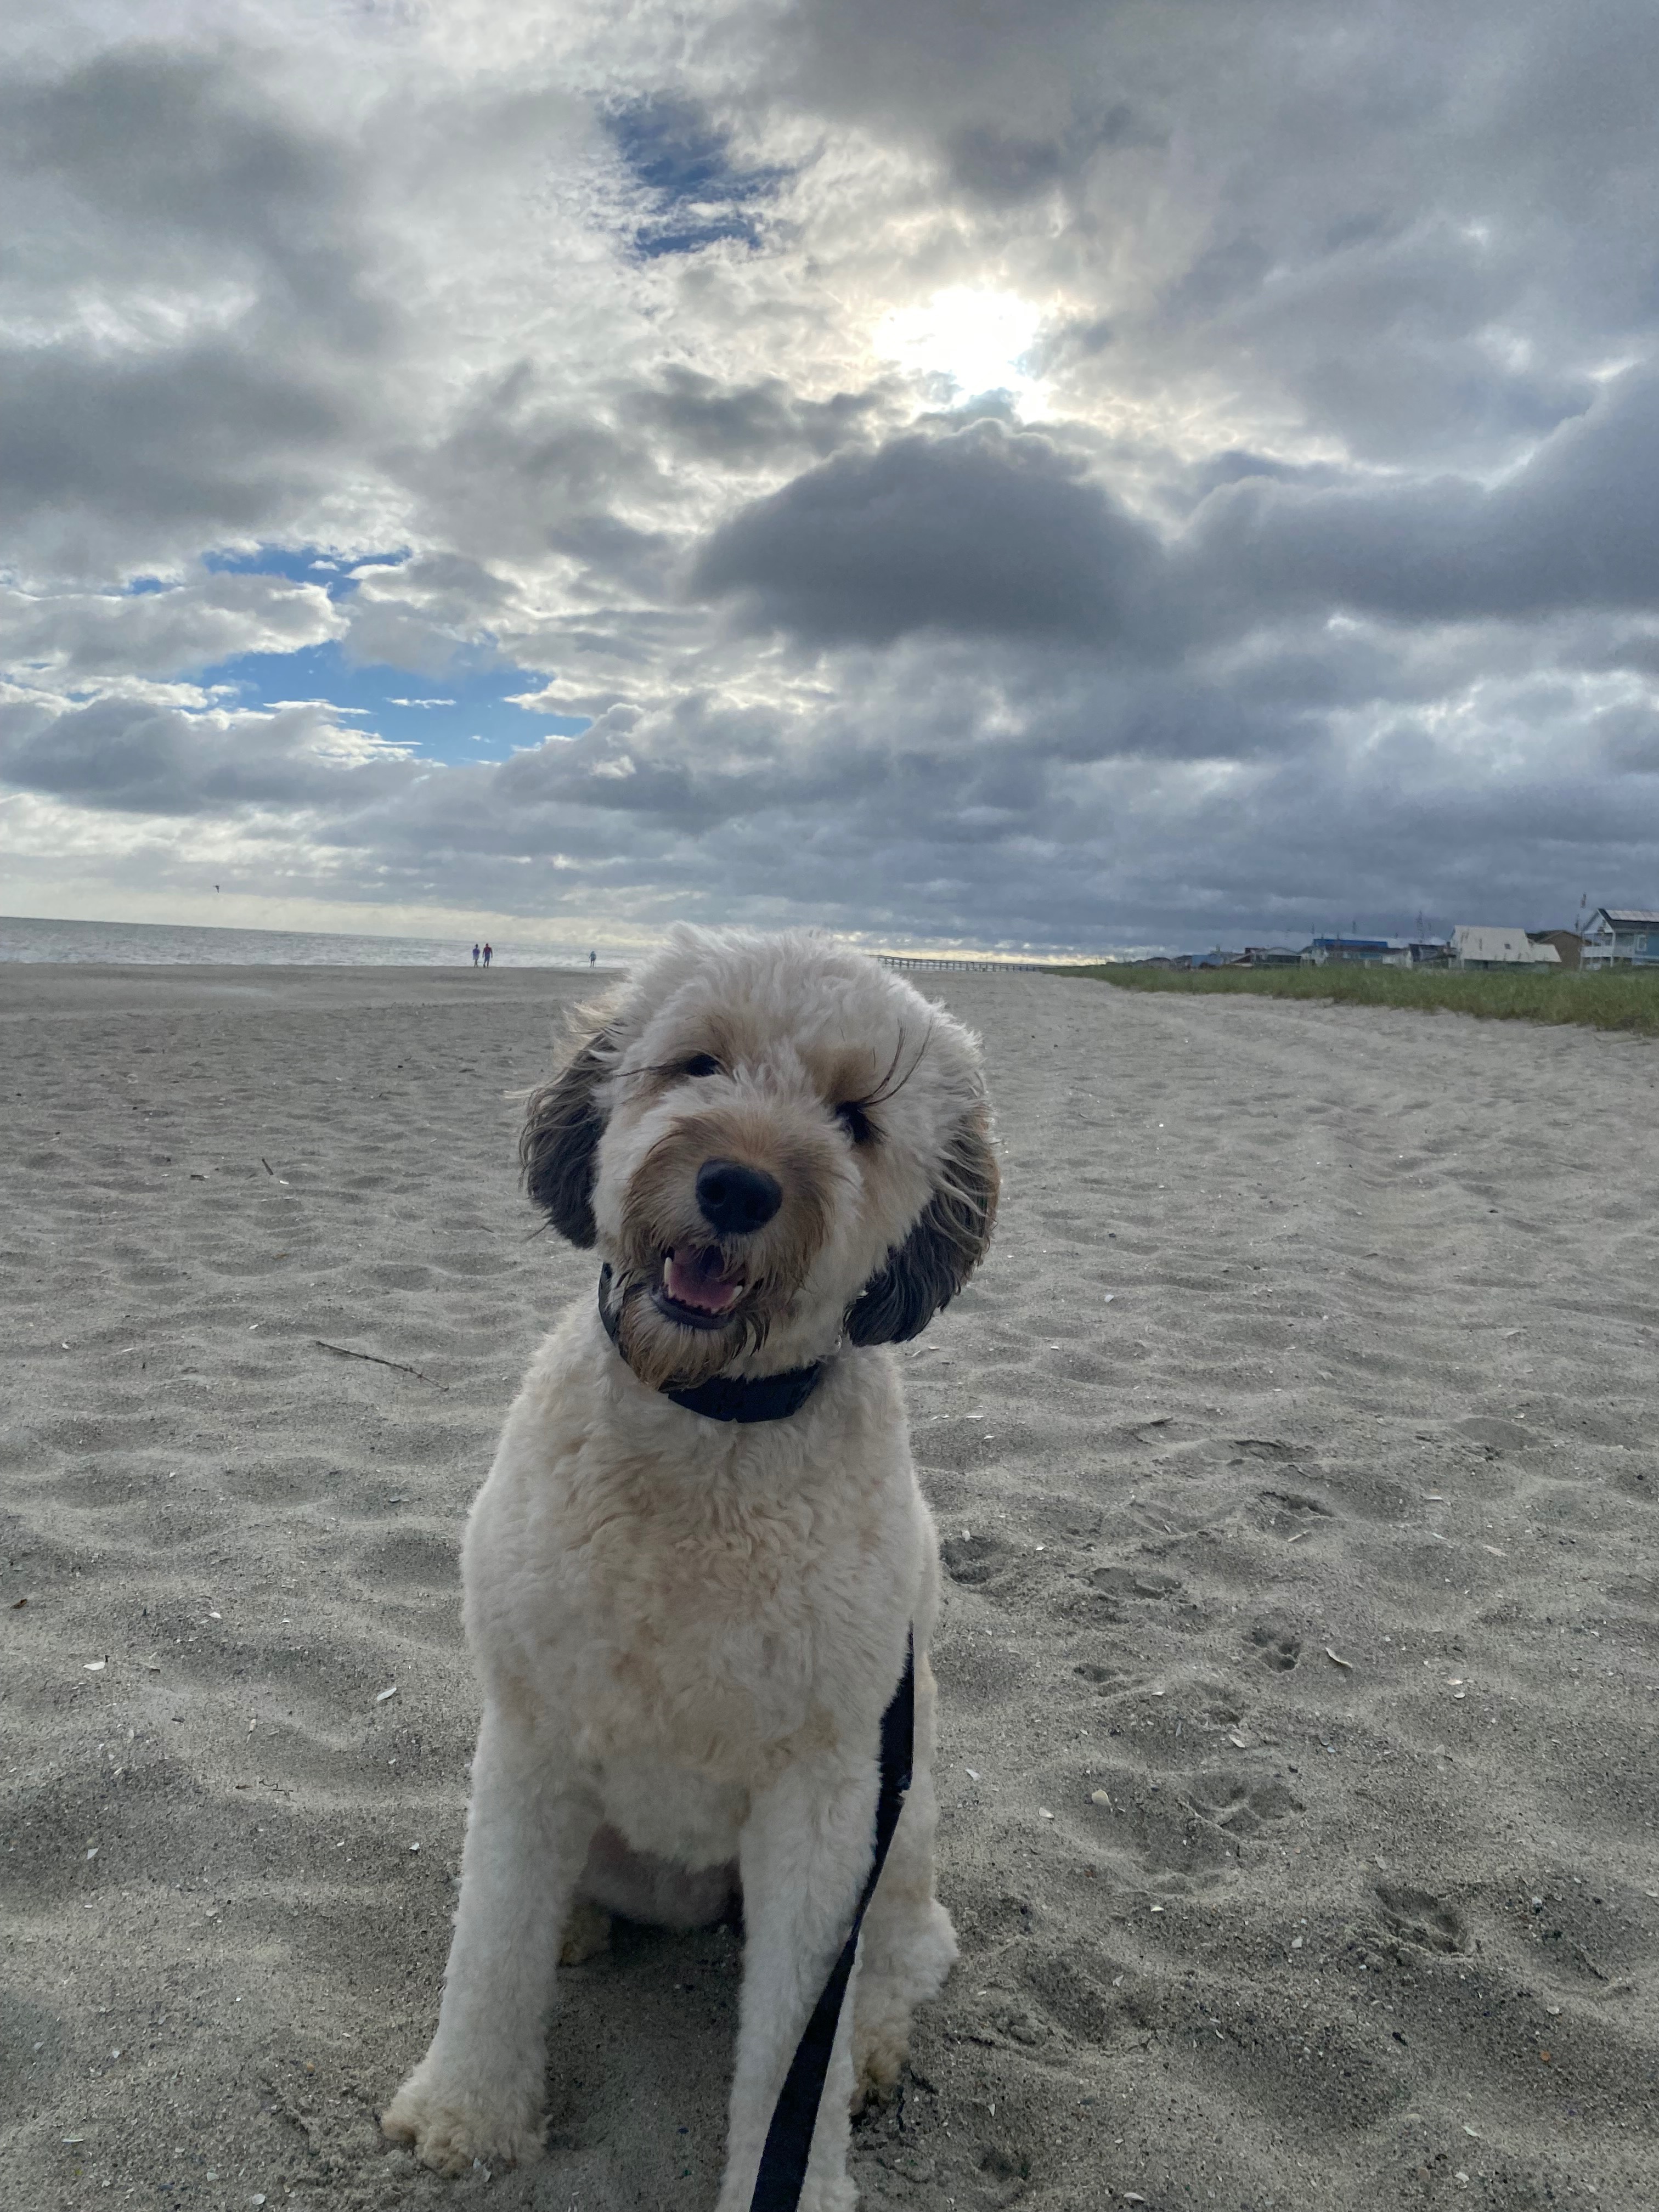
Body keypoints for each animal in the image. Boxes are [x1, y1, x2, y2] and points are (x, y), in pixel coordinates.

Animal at [382, 927, 998, 2211]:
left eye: (857, 1117)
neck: (707, 1422)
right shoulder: (530, 1733)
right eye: (697, 1060)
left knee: (906, 1953)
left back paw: (873, 2048)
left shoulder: (824, 1799)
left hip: (902, 1821)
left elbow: (794, 2053)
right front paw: (466, 2115)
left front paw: (800, 2179)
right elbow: (491, 1943)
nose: (738, 1187)